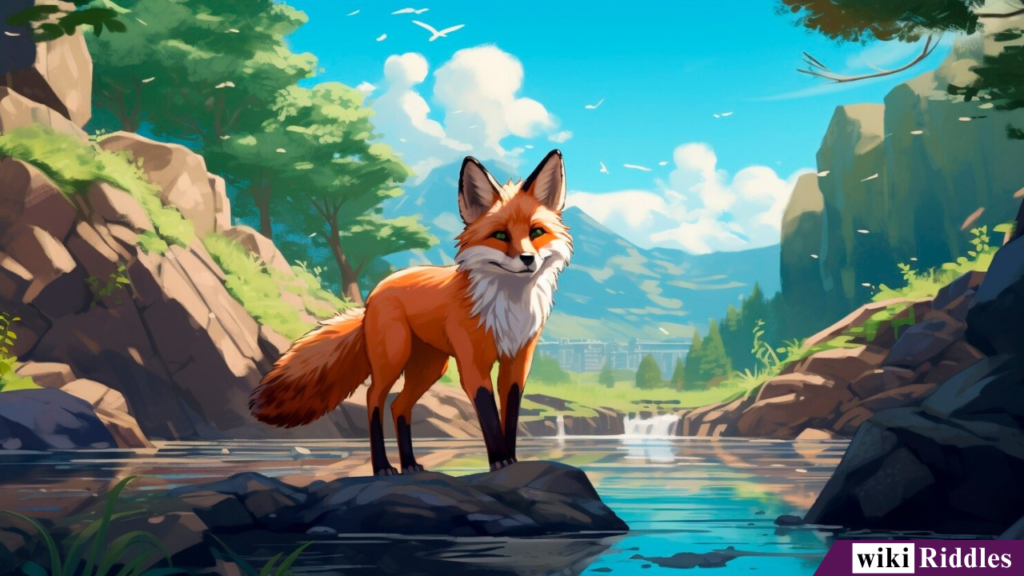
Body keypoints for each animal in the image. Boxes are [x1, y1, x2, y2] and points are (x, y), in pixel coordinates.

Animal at [250, 150, 572, 476]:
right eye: (500, 235)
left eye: (536, 232)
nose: (528, 259)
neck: (507, 307)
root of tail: (374, 294)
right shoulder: (472, 363)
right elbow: (489, 415)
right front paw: (499, 460)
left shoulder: (517, 361)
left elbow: (510, 415)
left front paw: (512, 461)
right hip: (394, 357)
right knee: (375, 399)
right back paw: (382, 466)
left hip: (430, 368)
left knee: (399, 406)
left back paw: (410, 465)